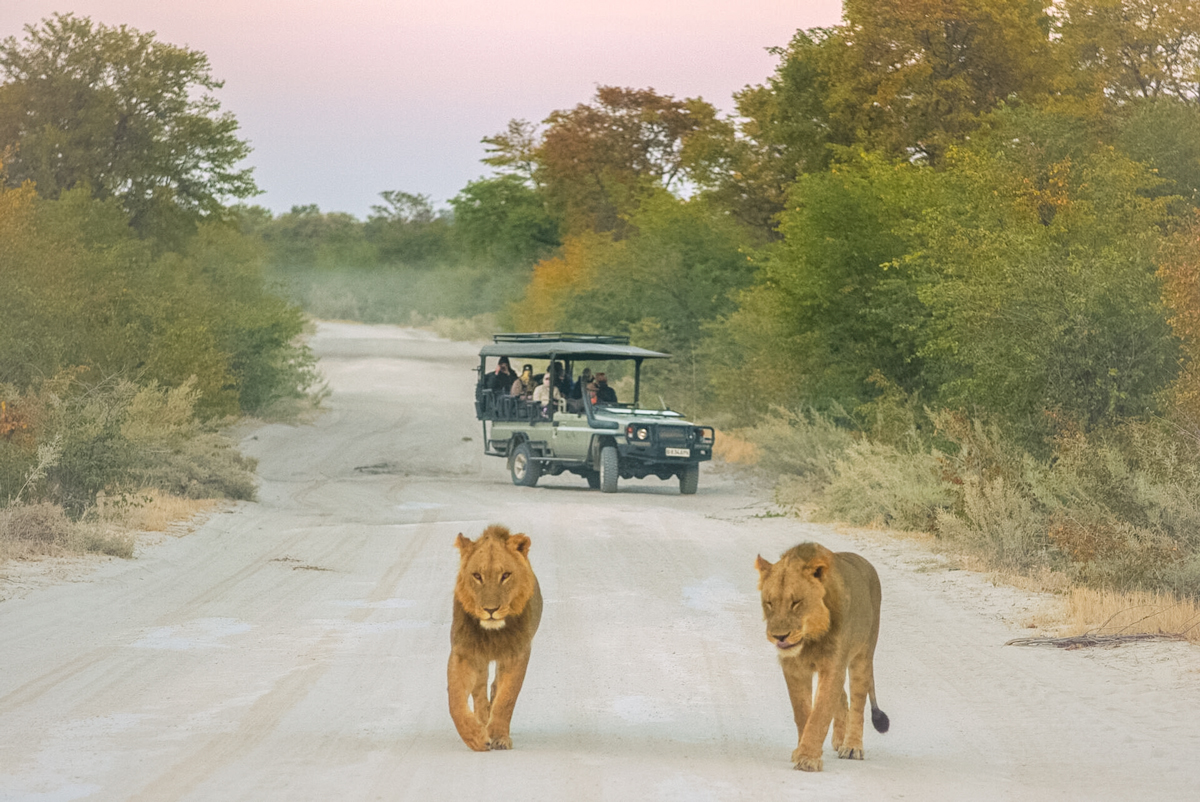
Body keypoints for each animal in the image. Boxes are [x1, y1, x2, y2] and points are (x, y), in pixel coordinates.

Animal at [448, 524, 543, 751]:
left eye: (506, 575)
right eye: (477, 576)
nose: (490, 610)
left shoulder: (516, 653)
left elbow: (506, 698)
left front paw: (499, 737)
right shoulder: (464, 651)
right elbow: (455, 698)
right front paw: (475, 737)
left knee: (495, 686)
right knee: (479, 691)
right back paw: (482, 721)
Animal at [755, 542, 889, 772]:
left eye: (796, 602)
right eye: (769, 603)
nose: (779, 636)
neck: (811, 637)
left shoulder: (834, 665)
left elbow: (820, 713)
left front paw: (808, 759)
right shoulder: (794, 668)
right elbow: (803, 712)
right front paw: (802, 751)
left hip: (863, 654)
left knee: (858, 702)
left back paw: (852, 747)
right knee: (842, 697)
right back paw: (839, 739)